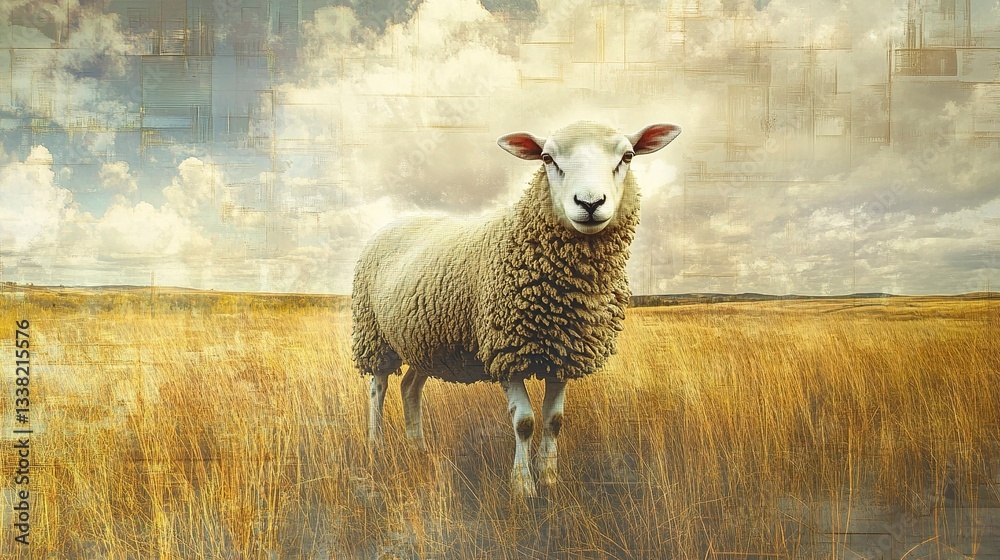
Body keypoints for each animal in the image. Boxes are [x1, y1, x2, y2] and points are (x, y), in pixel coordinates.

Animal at [352, 120, 682, 496]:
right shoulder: (505, 350)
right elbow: (524, 422)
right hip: (374, 336)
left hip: (426, 341)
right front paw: (523, 487)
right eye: (547, 158)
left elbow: (554, 420)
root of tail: (396, 221)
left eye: (627, 156)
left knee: (409, 387)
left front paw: (549, 478)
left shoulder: (564, 352)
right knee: (377, 388)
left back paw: (417, 448)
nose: (589, 202)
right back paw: (376, 447)